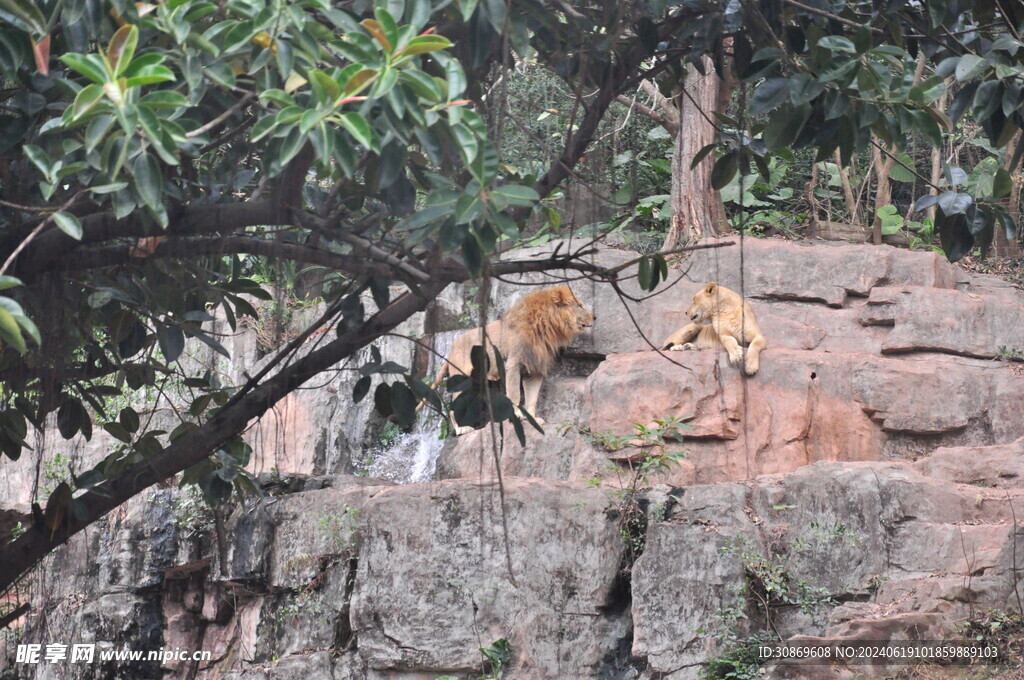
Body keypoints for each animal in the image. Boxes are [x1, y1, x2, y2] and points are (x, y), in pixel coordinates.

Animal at [430, 284, 593, 432]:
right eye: (580, 305)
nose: (595, 317)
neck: (547, 327)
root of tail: (452, 347)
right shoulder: (513, 363)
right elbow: (515, 394)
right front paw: (517, 415)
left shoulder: (534, 369)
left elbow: (532, 397)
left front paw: (533, 418)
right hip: (461, 377)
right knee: (453, 406)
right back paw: (462, 429)